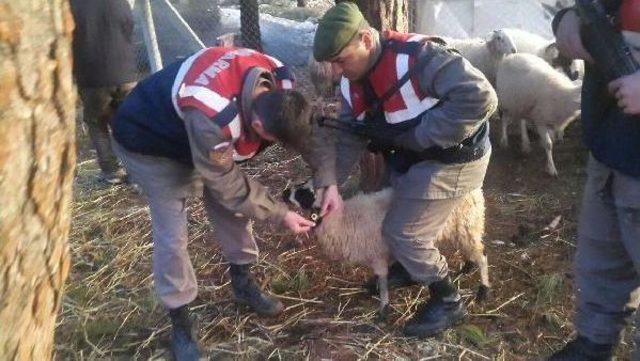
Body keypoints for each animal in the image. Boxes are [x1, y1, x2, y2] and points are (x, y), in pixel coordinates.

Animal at [282, 181, 488, 316]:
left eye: (305, 194)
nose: (284, 193)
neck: (342, 219)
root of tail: (475, 188)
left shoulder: (378, 256)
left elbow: (382, 280)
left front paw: (383, 308)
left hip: (468, 223)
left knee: (482, 257)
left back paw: (483, 290)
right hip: (461, 228)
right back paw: (467, 268)